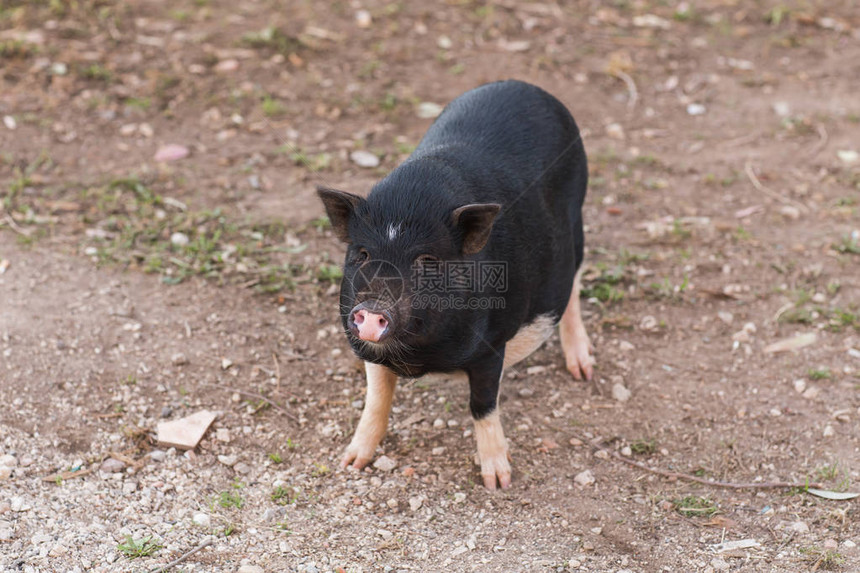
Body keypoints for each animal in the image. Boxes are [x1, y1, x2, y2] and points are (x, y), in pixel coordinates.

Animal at [320, 79, 596, 492]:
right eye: (363, 253)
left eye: (427, 261)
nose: (371, 310)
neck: (420, 356)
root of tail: (527, 86)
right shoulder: (367, 349)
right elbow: (376, 399)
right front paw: (351, 463)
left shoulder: (492, 343)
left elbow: (482, 404)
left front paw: (498, 482)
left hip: (577, 220)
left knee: (574, 283)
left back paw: (584, 370)